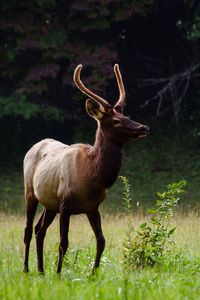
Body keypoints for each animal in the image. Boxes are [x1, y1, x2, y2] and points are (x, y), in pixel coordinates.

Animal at [23, 64, 148, 276]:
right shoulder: (65, 203)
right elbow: (63, 243)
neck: (92, 177)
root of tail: (33, 146)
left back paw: (41, 270)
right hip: (30, 192)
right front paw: (59, 274)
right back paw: (26, 269)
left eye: (127, 116)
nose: (144, 127)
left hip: (50, 203)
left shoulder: (93, 207)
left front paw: (94, 274)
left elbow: (101, 241)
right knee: (28, 230)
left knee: (40, 230)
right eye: (116, 121)